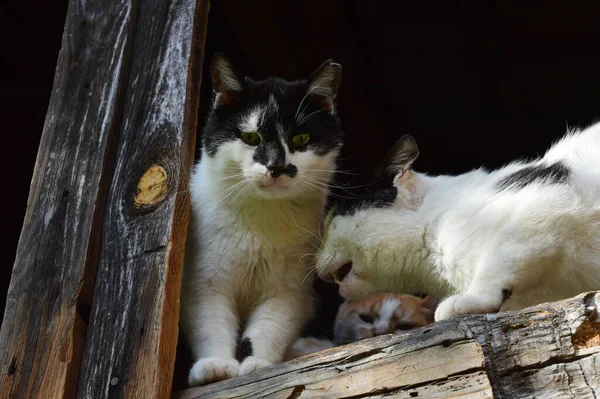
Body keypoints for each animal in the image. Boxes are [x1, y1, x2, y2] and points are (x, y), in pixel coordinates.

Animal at [179, 54, 342, 388]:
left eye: (301, 138)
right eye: (250, 137)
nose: (277, 166)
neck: (260, 221)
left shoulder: (289, 290)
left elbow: (269, 327)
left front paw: (258, 365)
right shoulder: (204, 283)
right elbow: (211, 324)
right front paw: (215, 366)